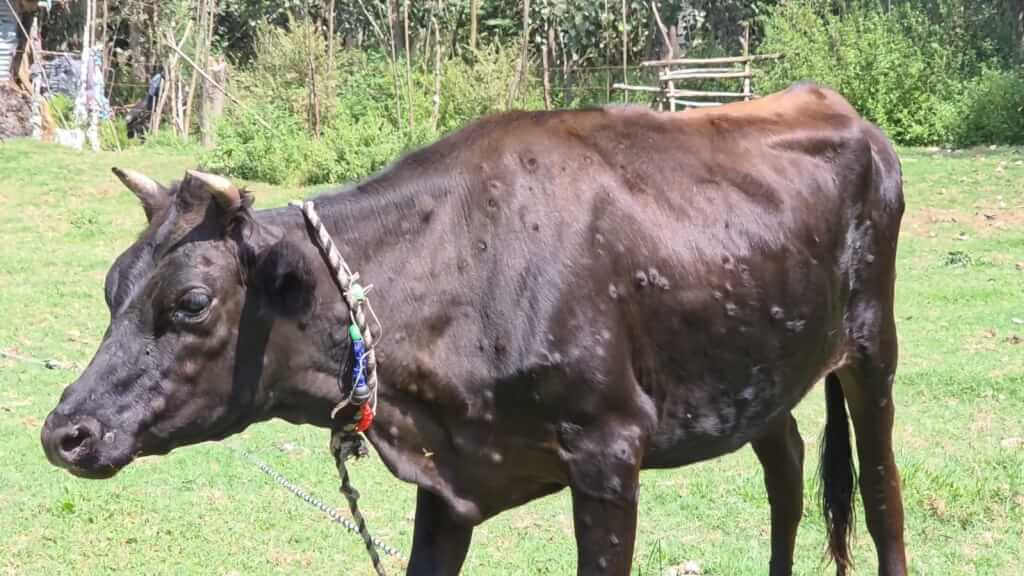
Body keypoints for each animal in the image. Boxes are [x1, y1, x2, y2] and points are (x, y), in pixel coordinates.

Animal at [41, 83, 907, 576]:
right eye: (112, 286)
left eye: (191, 302)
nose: (65, 433)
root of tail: (843, 110)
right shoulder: (449, 482)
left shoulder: (608, 450)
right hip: (755, 368)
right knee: (786, 465)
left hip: (872, 349)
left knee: (881, 495)